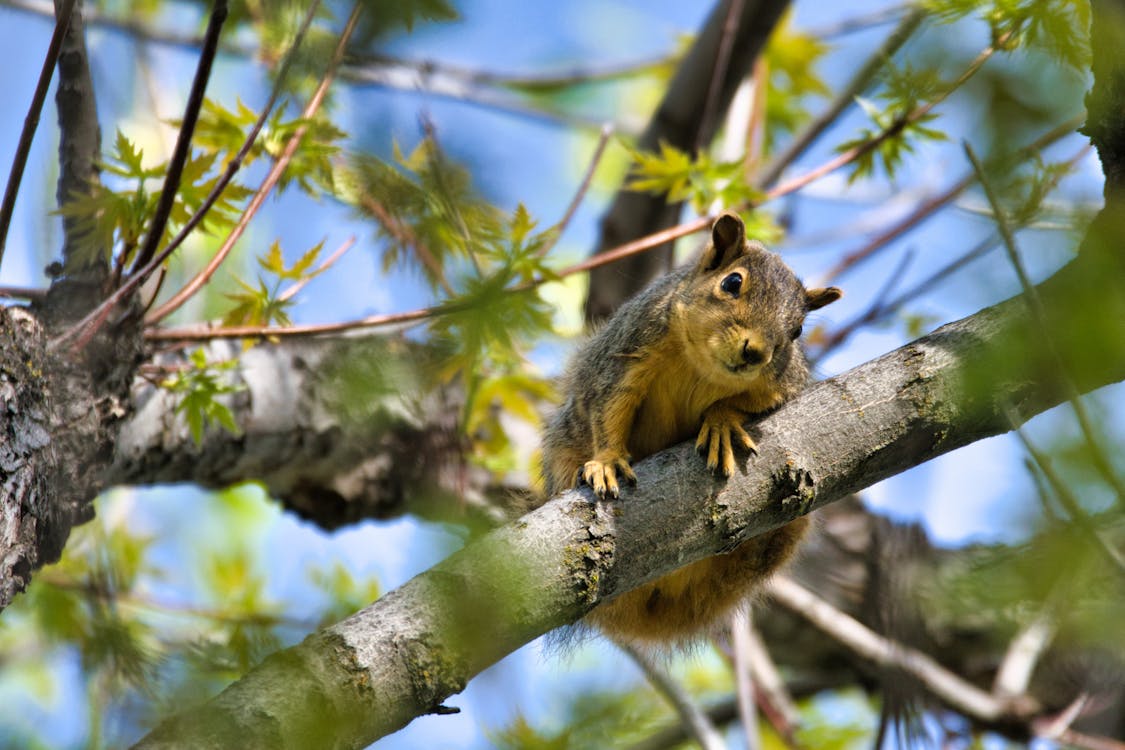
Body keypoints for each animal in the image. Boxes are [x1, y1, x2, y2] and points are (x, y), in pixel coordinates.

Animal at [540, 210, 841, 647]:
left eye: (798, 330)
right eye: (732, 282)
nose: (756, 352)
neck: (703, 365)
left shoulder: (786, 381)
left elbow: (749, 402)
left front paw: (721, 420)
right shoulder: (630, 348)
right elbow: (609, 408)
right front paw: (607, 461)